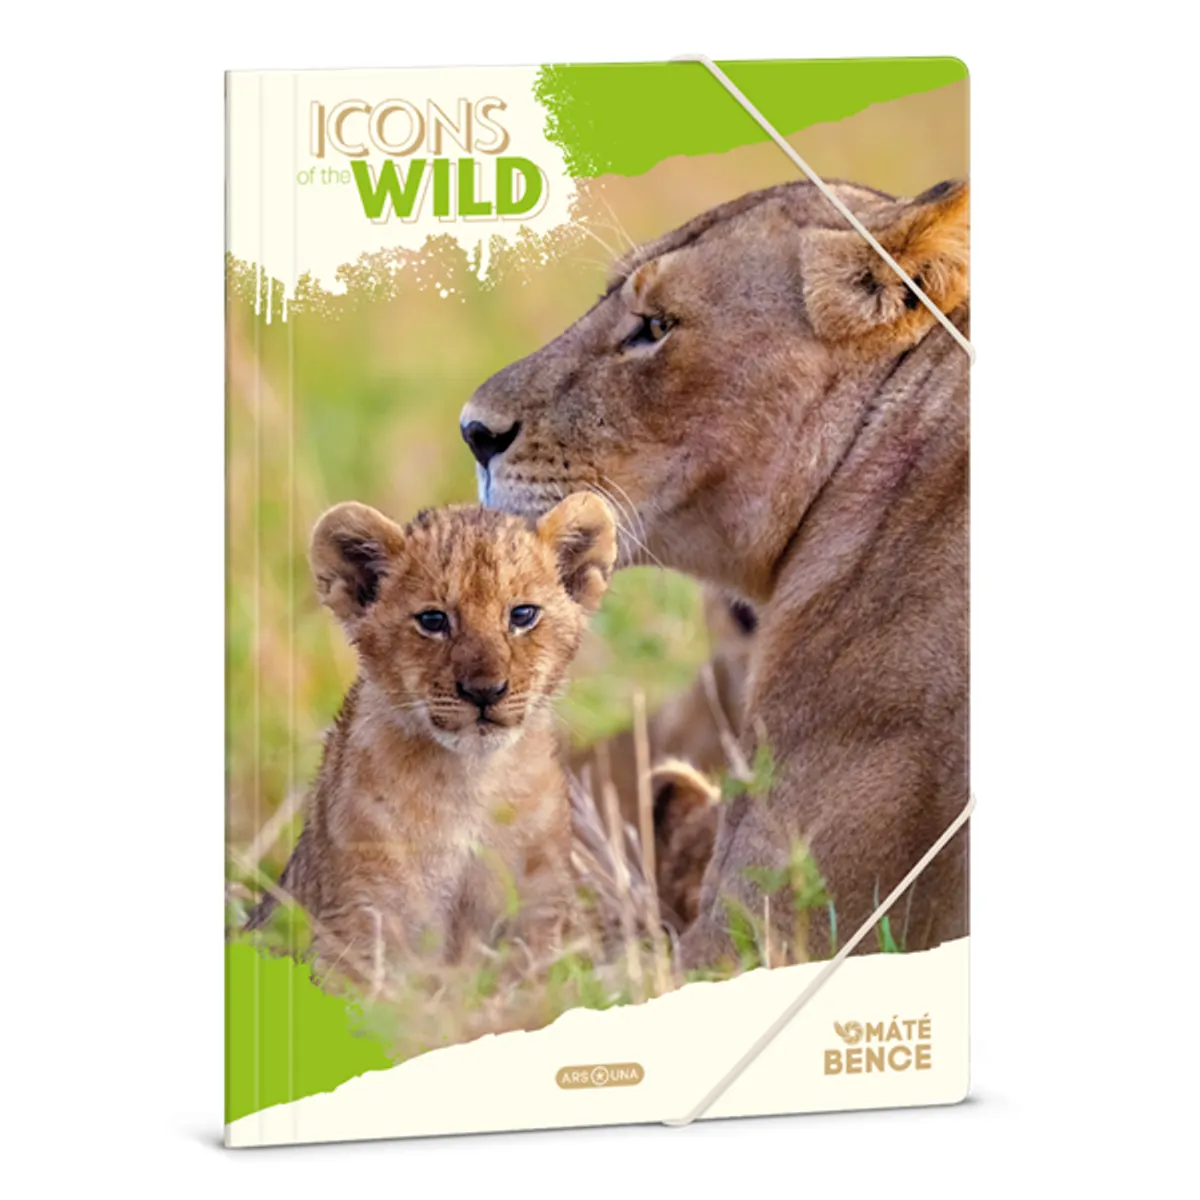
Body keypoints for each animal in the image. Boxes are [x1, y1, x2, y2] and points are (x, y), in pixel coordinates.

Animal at [244, 494, 618, 983]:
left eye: (522, 615)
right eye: (433, 620)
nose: (484, 691)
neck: (471, 783)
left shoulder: (540, 913)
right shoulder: (359, 922)